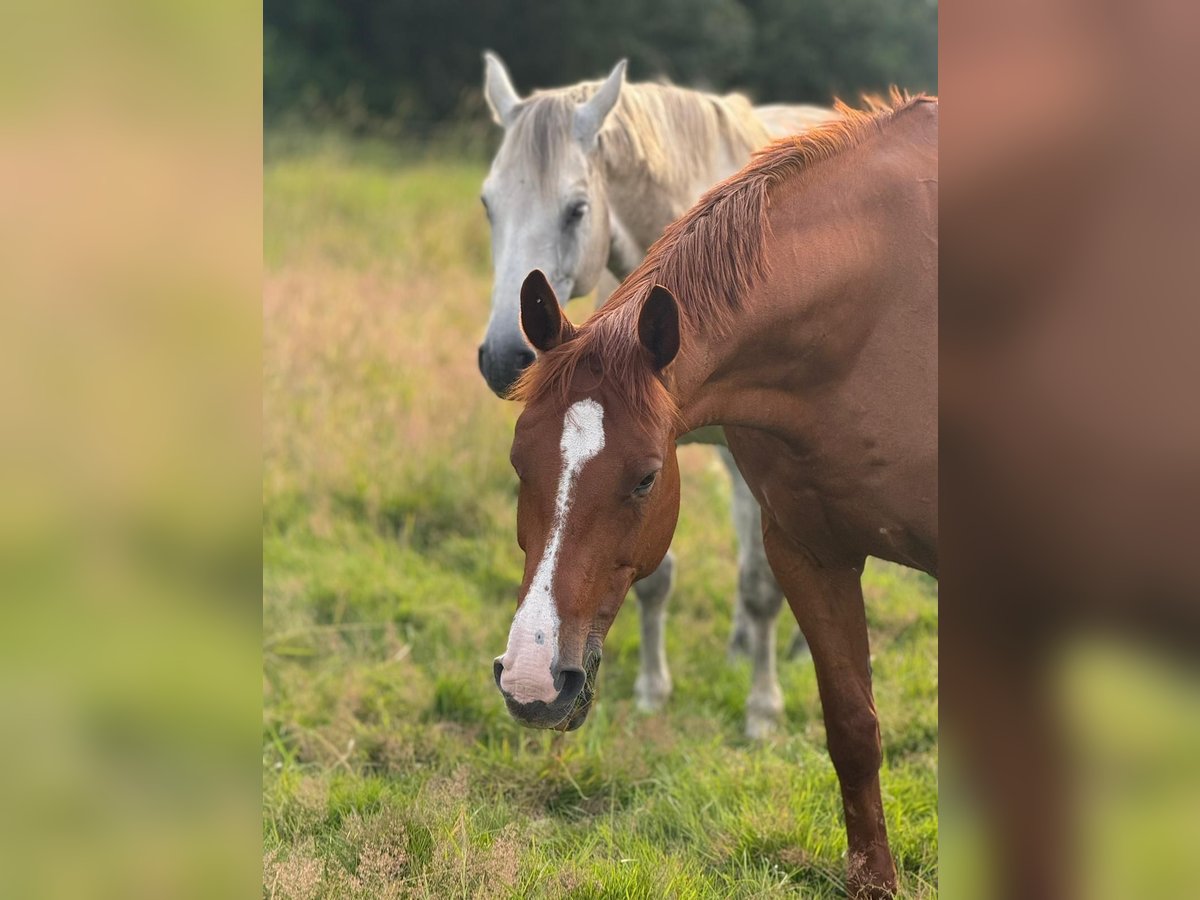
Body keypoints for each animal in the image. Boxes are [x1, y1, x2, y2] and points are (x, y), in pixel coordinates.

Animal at [477, 52, 835, 734]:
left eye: (577, 209)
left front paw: (762, 710)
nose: (504, 356)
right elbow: (652, 576)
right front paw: (651, 689)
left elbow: (760, 585)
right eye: (488, 205)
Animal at [494, 95, 936, 897]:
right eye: (519, 461)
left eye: (646, 476)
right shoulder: (807, 552)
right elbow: (852, 730)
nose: (533, 680)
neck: (881, 314)